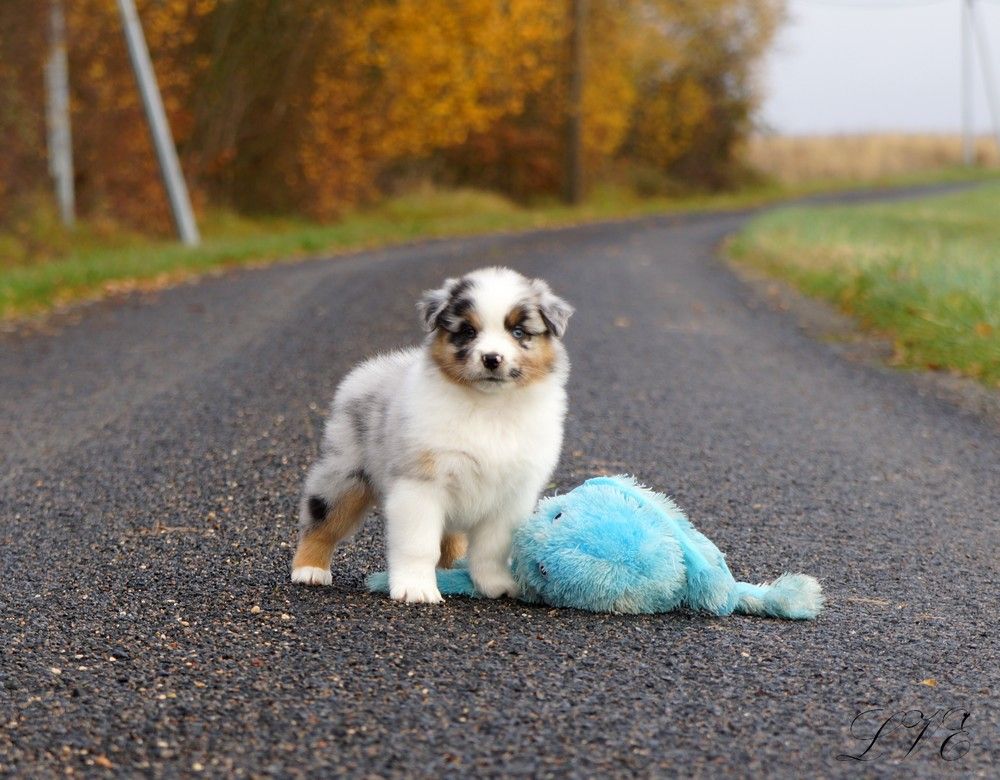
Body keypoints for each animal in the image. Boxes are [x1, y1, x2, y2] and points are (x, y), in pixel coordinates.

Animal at [290, 266, 573, 603]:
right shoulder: (420, 484)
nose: (492, 359)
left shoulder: (512, 494)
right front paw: (416, 589)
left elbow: (492, 548)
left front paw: (496, 585)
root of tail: (369, 369)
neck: (489, 406)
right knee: (322, 519)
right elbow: (419, 544)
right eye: (468, 332)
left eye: (518, 333)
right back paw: (309, 570)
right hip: (345, 473)